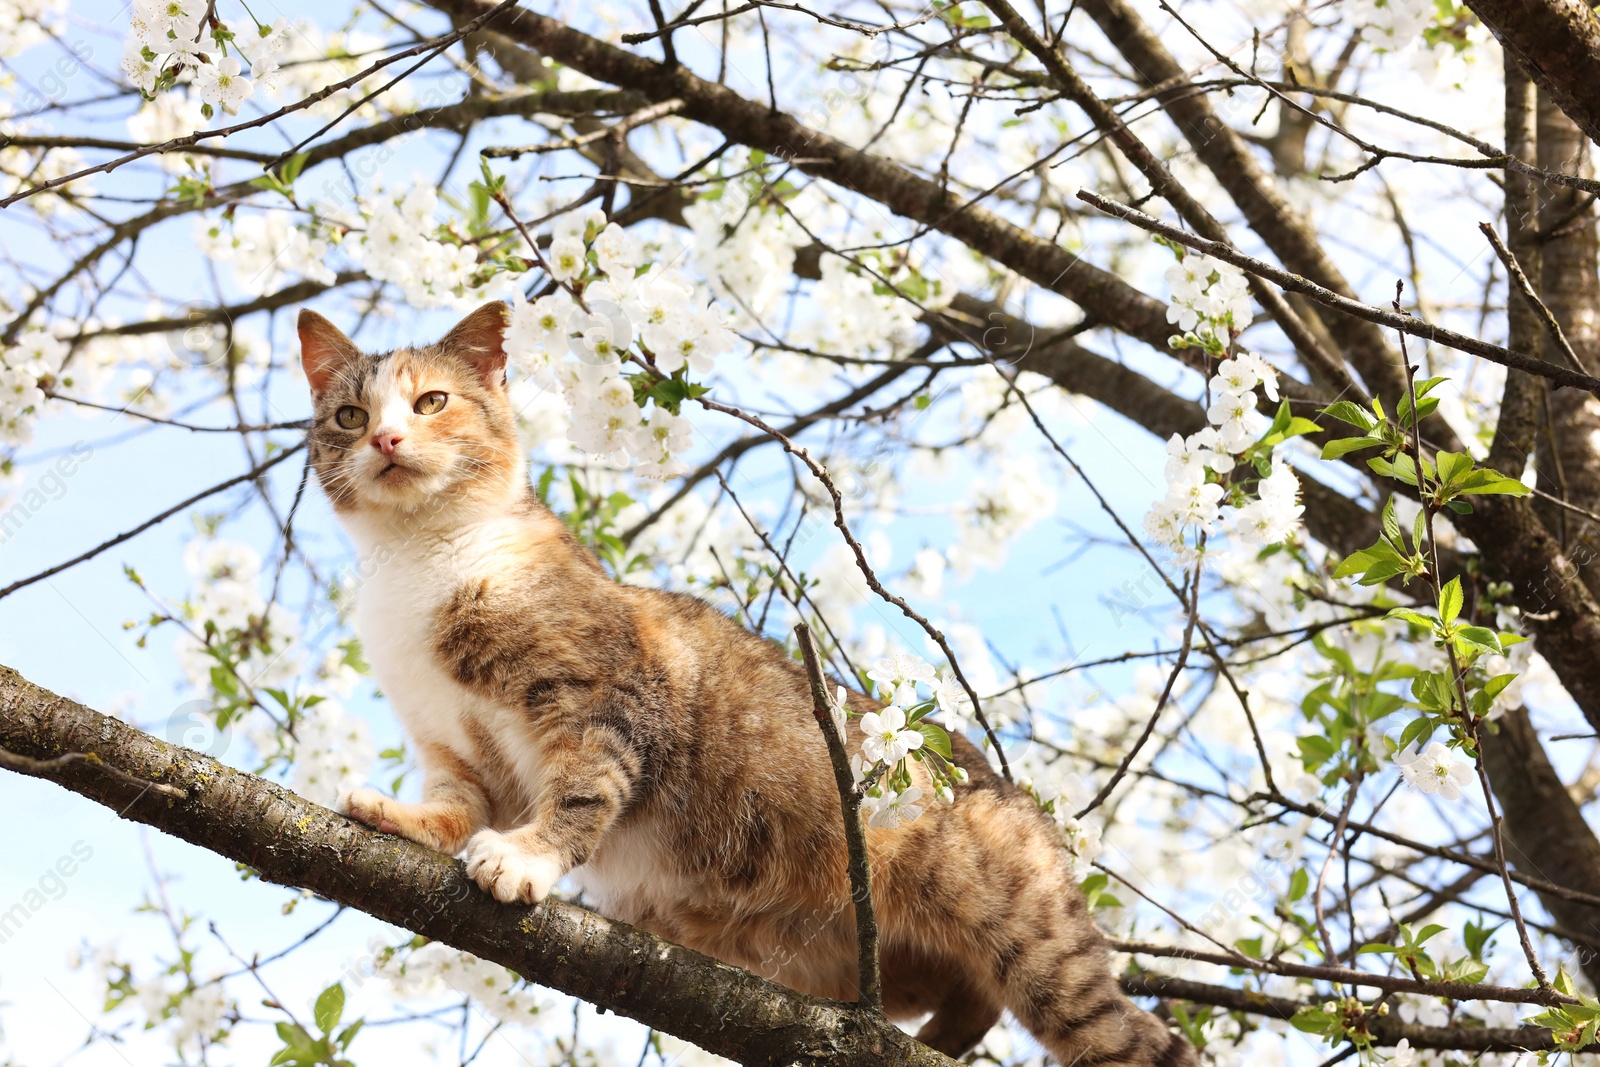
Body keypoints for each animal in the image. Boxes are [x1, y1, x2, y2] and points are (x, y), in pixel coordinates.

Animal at [300, 302, 1203, 1067]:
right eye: (349, 415)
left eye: (432, 401)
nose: (385, 439)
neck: (418, 567)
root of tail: (1017, 796)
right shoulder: (451, 741)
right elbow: (457, 804)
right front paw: (404, 818)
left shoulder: (605, 697)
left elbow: (583, 787)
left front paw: (527, 855)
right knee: (967, 1001)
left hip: (1033, 940)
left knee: (1122, 1034)